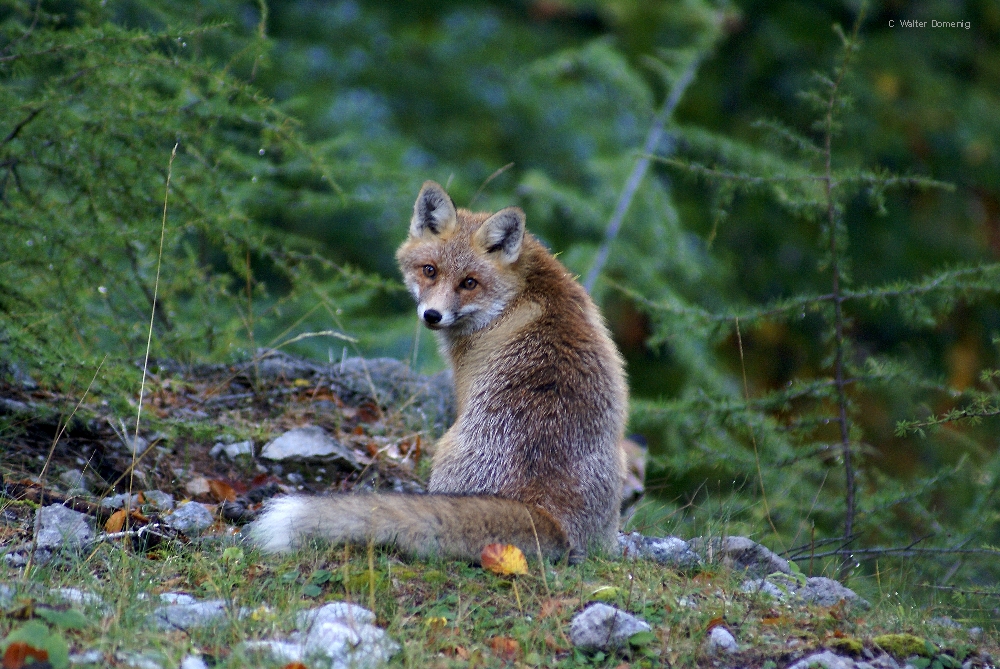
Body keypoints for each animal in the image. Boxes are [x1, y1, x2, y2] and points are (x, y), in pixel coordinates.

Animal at [248, 180, 624, 560]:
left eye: (469, 282)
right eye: (430, 270)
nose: (432, 315)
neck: (519, 291)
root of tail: (545, 511)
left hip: (447, 444)